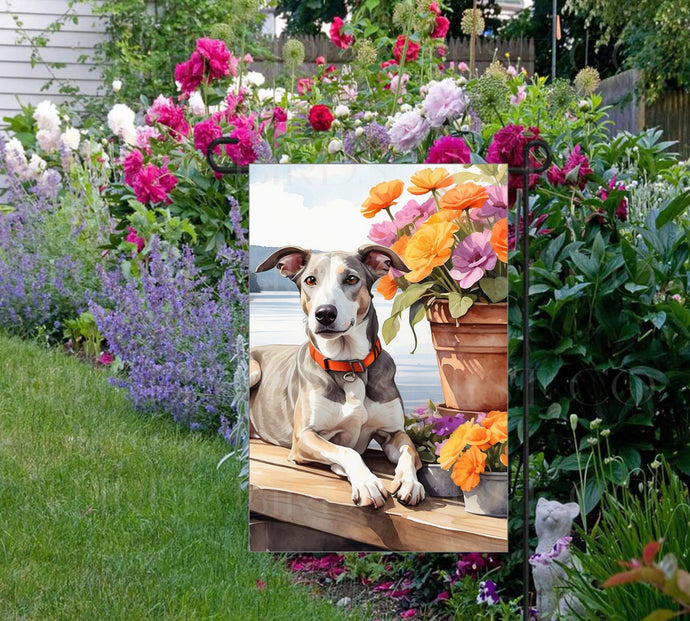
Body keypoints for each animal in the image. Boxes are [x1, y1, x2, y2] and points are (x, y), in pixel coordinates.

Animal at [249, 243, 424, 508]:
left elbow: (409, 450)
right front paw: (367, 482)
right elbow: (345, 450)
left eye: (351, 278)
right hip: (254, 370)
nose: (324, 314)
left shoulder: (394, 431)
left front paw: (409, 482)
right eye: (310, 280)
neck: (348, 365)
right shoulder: (304, 436)